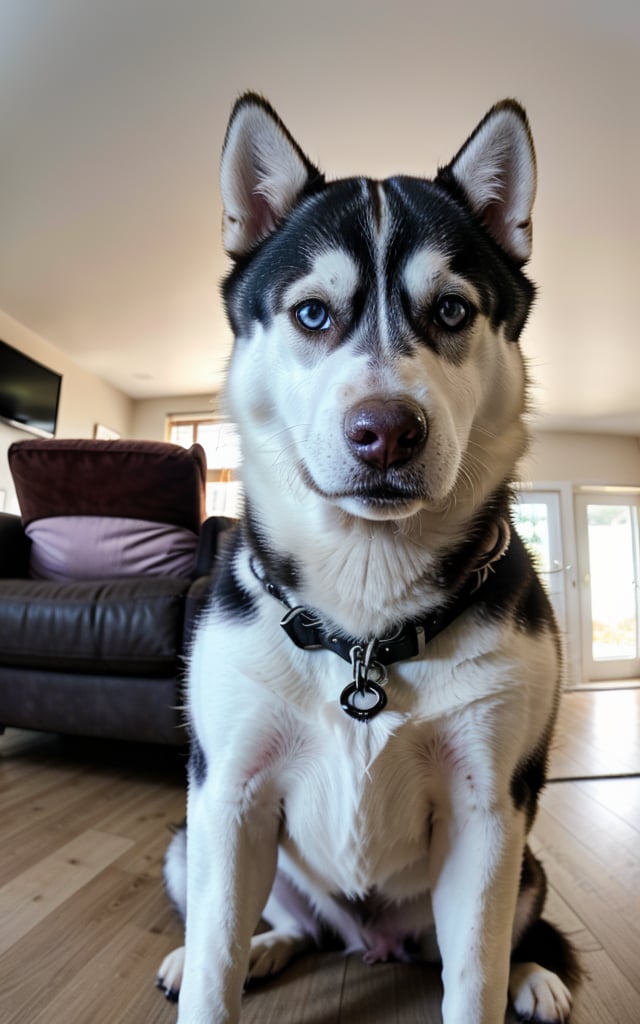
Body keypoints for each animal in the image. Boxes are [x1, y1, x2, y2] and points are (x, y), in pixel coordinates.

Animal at [157, 96, 577, 1024]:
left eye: (452, 312)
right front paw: (215, 968)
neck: (365, 624)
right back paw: (265, 947)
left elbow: (474, 977)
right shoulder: (229, 792)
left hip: (524, 860)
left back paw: (536, 975)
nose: (386, 431)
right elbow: (213, 963)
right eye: (313, 314)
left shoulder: (489, 809)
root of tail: (371, 940)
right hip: (187, 840)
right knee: (276, 924)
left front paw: (507, 980)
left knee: (507, 936)